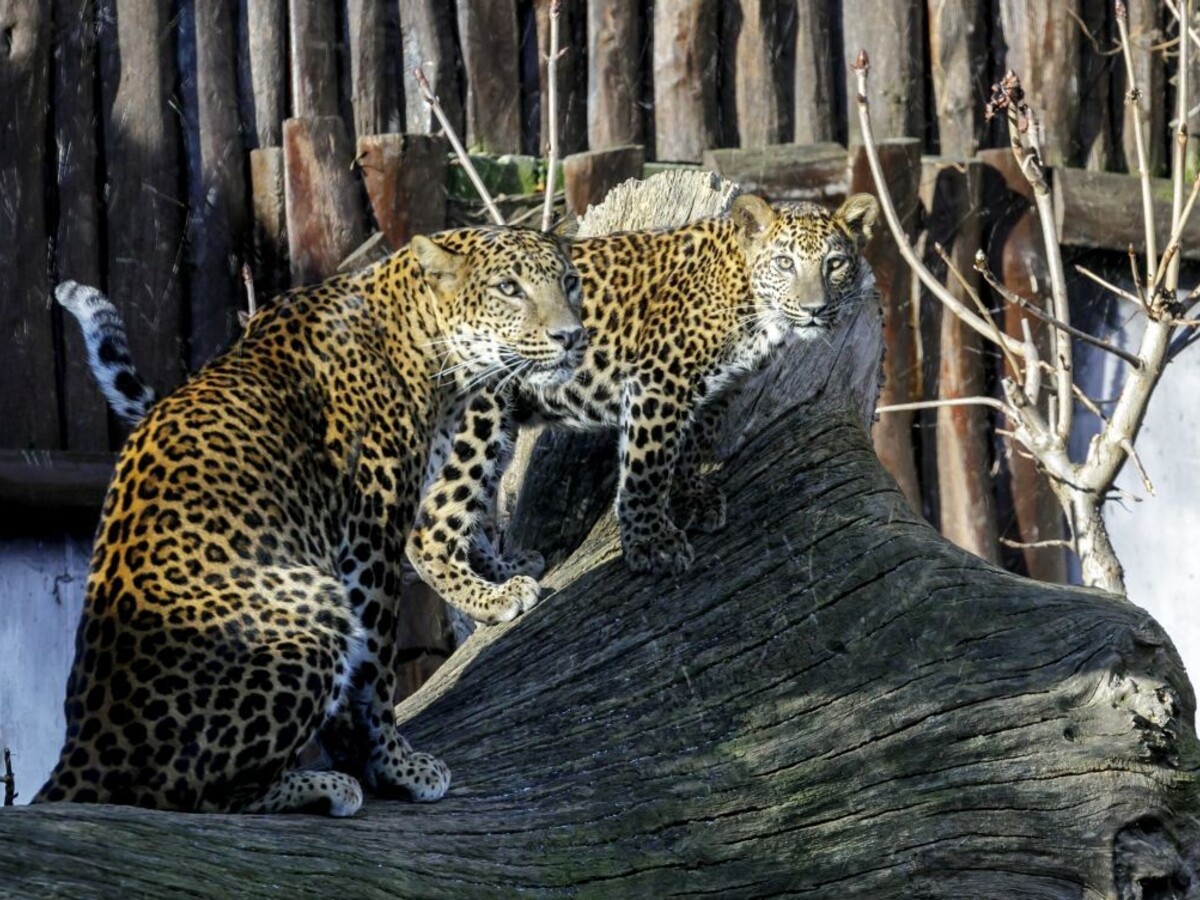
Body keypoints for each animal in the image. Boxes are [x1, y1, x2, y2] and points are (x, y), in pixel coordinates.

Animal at [34, 224, 583, 815]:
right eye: (509, 289)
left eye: (569, 282)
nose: (572, 337)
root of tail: (84, 745)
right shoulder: (370, 538)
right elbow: (376, 672)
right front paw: (396, 767)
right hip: (315, 608)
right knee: (194, 796)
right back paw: (322, 786)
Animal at [406, 192, 879, 612]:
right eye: (785, 263)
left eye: (834, 264)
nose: (815, 309)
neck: (752, 304)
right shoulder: (659, 381)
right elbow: (647, 468)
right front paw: (653, 544)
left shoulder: (719, 389)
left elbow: (693, 446)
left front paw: (690, 498)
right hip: (477, 417)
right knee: (428, 529)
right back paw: (493, 598)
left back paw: (507, 568)